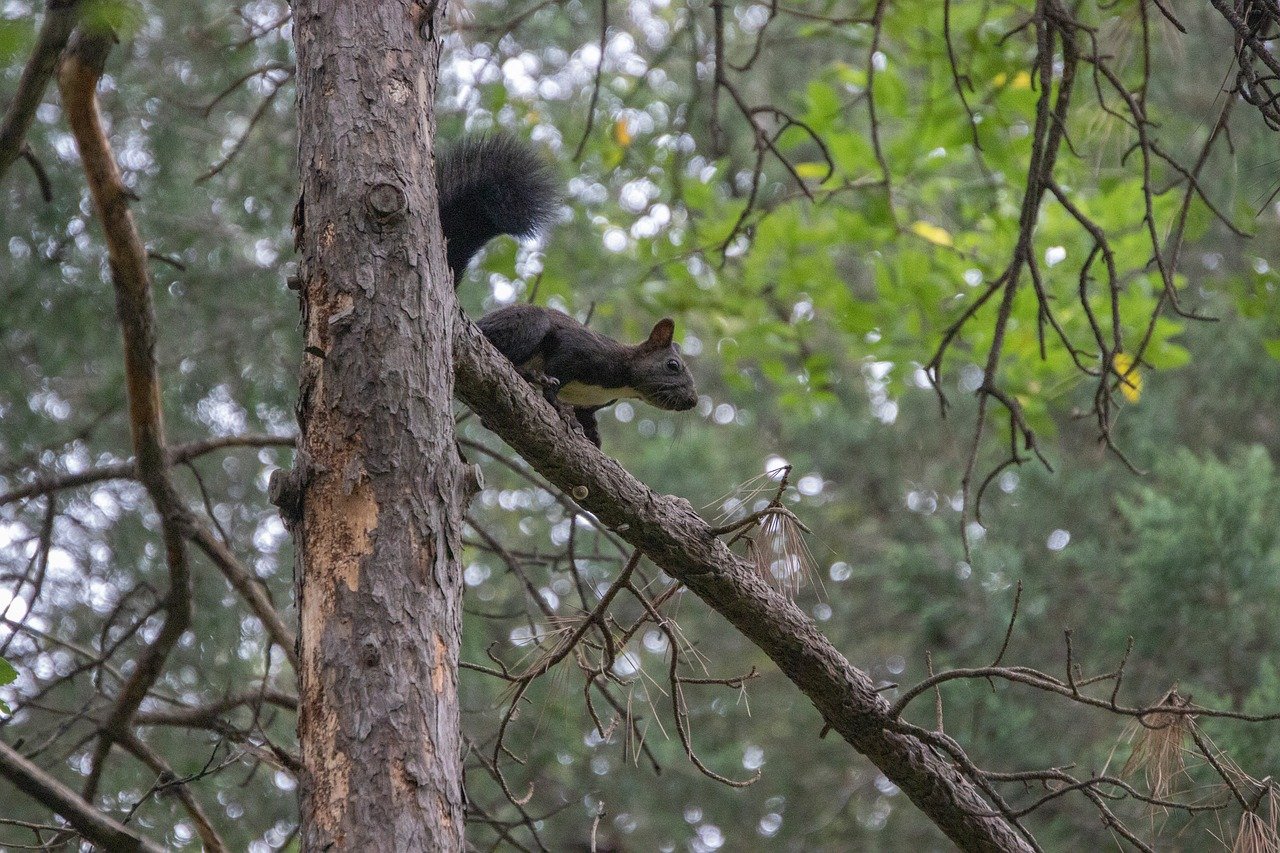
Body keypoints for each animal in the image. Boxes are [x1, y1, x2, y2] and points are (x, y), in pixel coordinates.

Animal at [438, 136, 698, 446]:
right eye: (673, 365)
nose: (693, 400)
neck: (622, 382)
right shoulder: (578, 350)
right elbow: (557, 374)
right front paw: (558, 405)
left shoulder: (590, 402)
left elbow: (587, 416)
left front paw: (593, 437)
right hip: (528, 325)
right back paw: (529, 375)